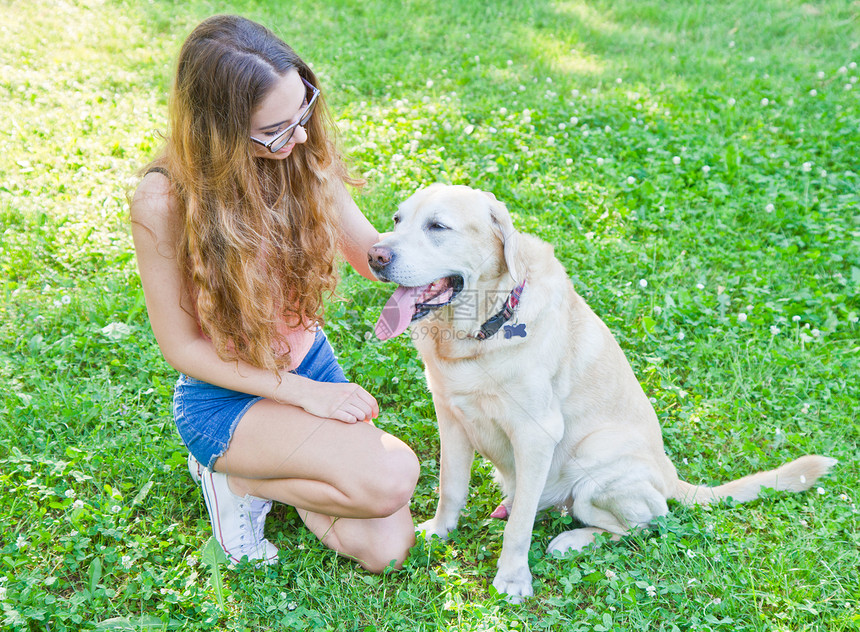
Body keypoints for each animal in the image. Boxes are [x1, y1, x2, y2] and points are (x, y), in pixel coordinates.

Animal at [368, 184, 832, 604]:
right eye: (397, 220)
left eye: (438, 226)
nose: (375, 254)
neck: (481, 331)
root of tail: (670, 476)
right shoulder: (451, 416)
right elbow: (451, 487)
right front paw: (439, 532)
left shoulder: (536, 435)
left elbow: (518, 529)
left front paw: (513, 578)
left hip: (594, 462)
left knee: (644, 522)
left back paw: (573, 540)